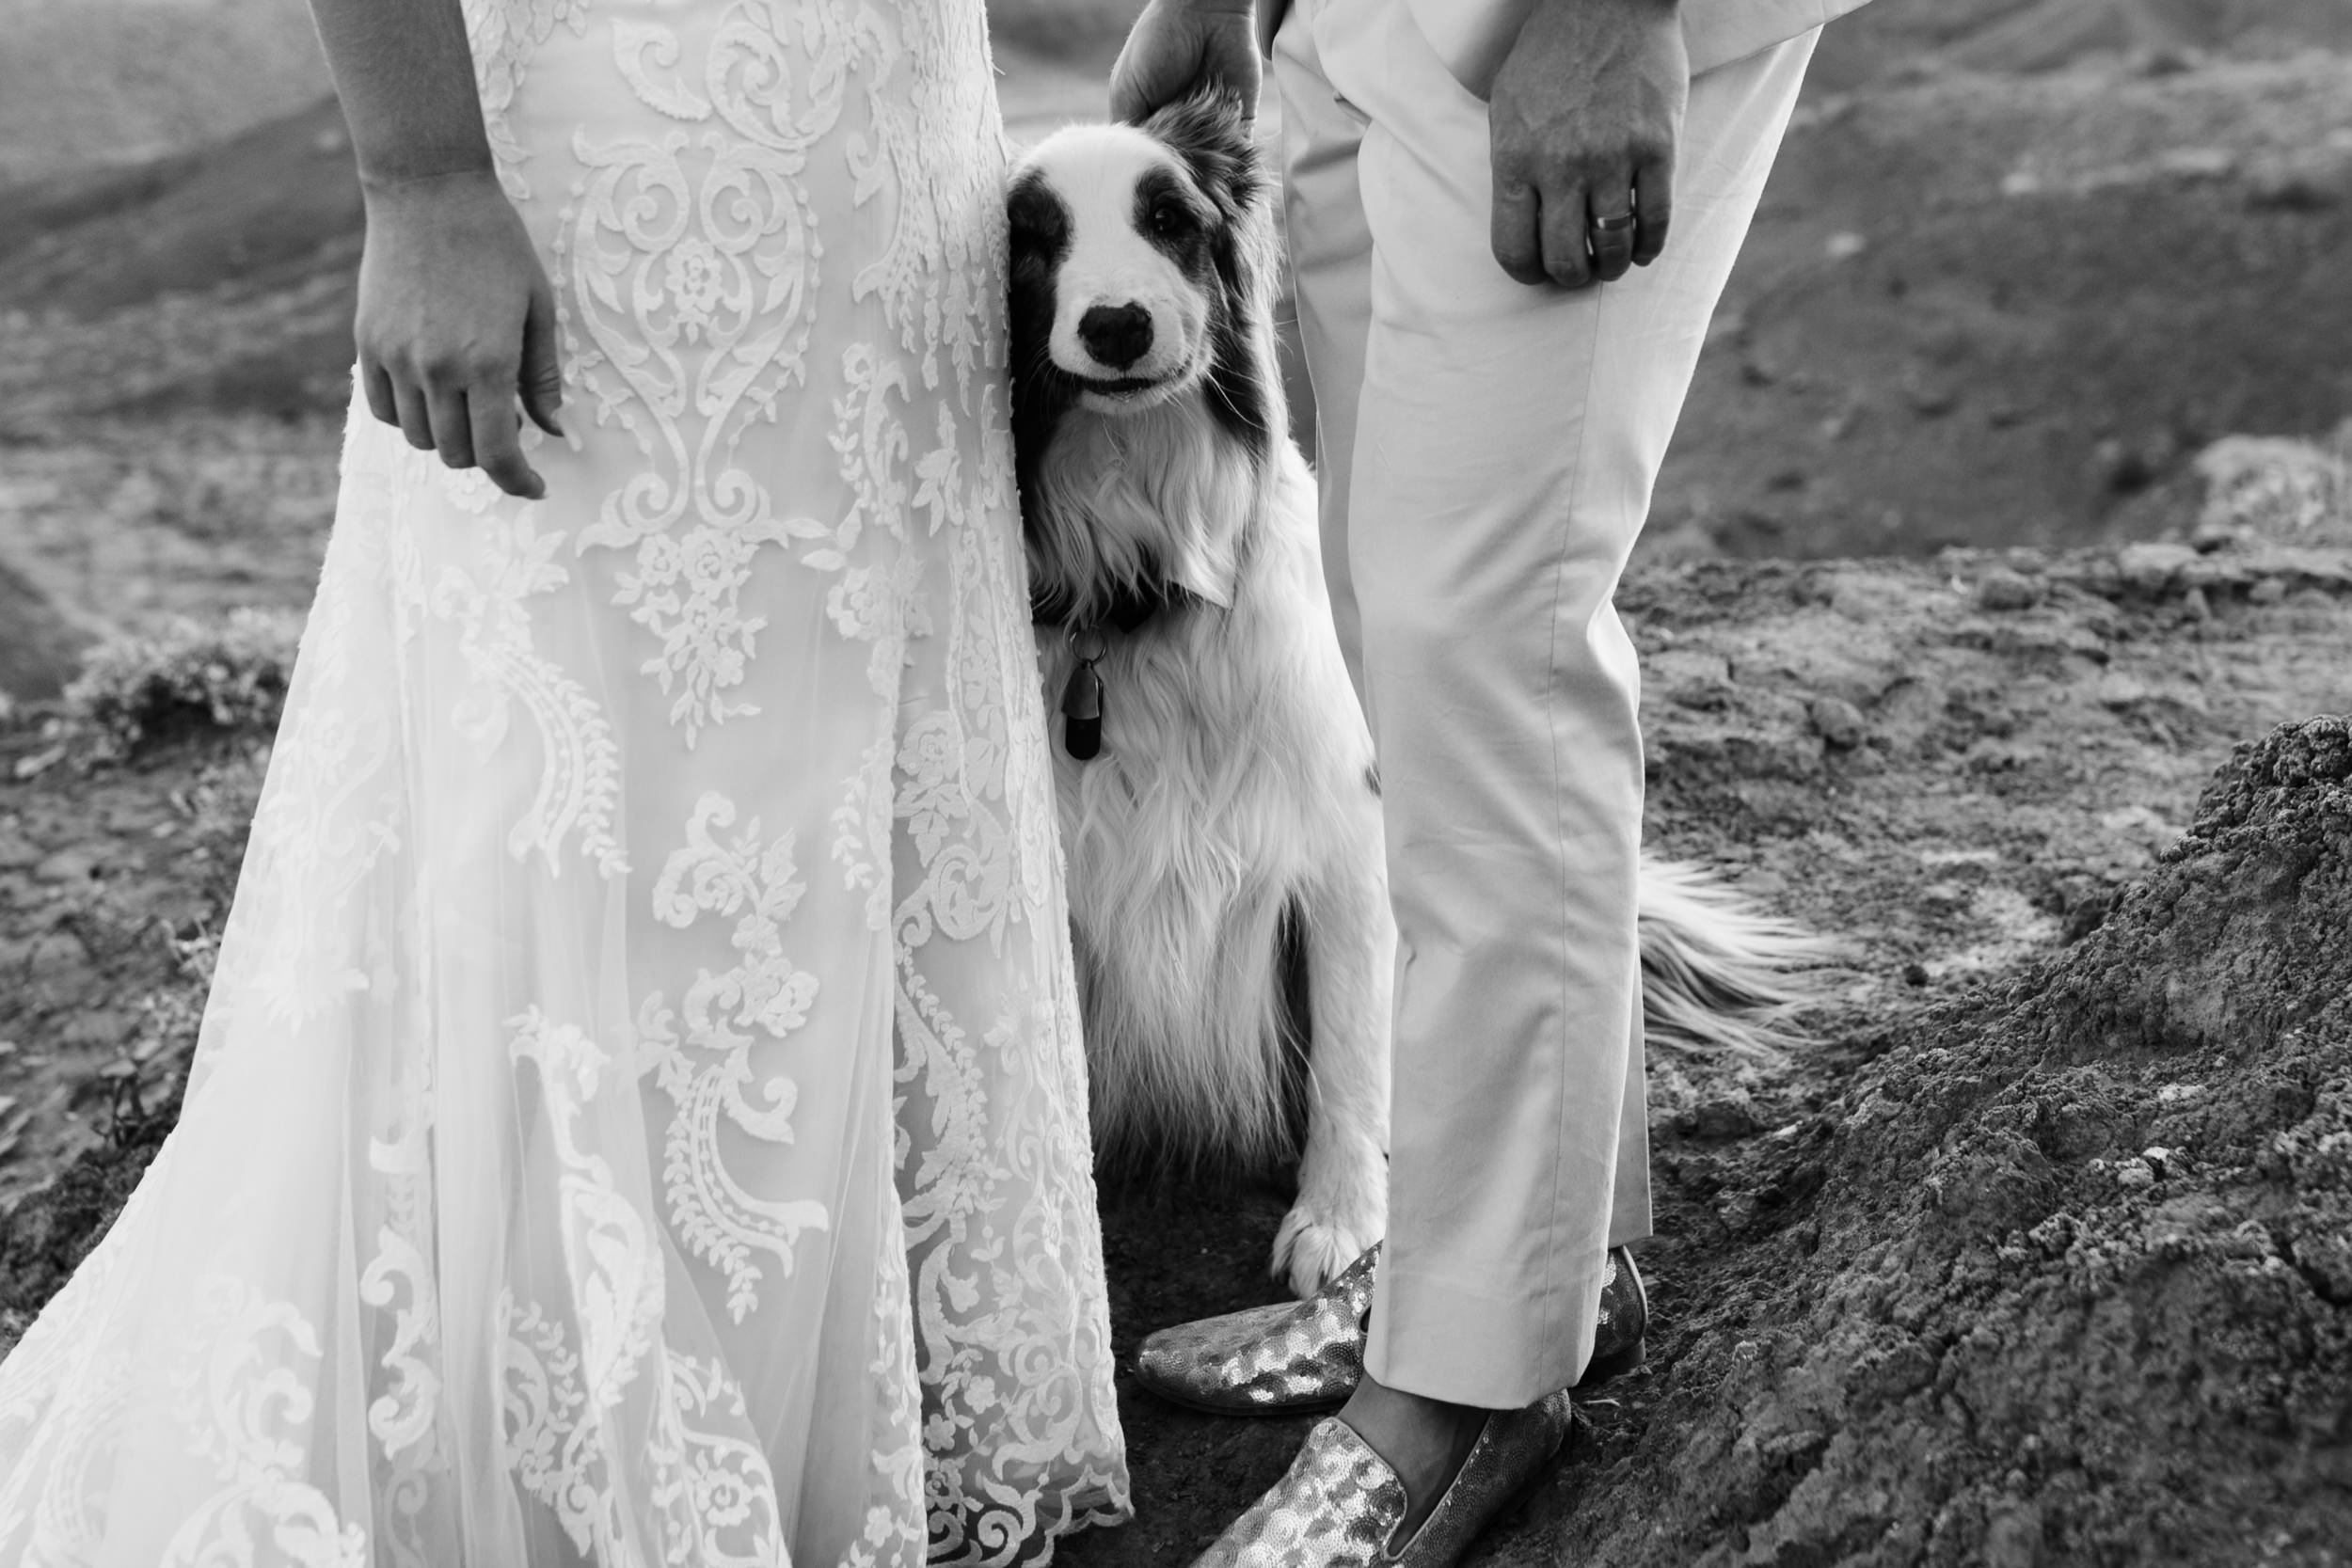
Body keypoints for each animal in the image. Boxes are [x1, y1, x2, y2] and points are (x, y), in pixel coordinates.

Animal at [1011, 88, 1816, 1297]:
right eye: (1034, 238)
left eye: (1167, 218)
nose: (1114, 325)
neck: (1143, 581)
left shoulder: (1338, 840)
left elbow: (1349, 1047)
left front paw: (1340, 1218)